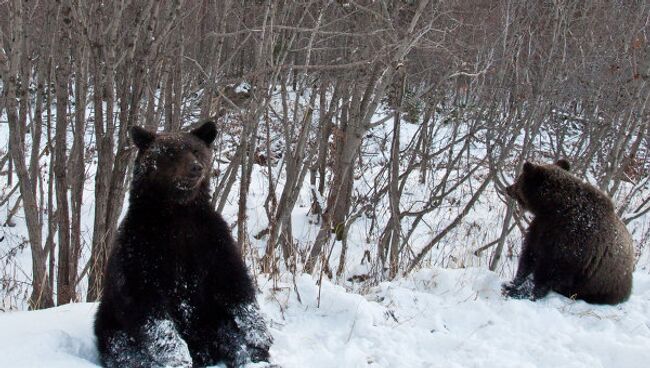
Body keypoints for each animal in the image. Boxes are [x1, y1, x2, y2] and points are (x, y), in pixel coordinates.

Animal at [93, 120, 270, 366]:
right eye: (170, 152)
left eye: (196, 150)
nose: (196, 167)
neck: (178, 212)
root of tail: (205, 352)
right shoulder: (140, 248)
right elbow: (147, 306)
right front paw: (176, 354)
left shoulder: (209, 239)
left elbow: (234, 282)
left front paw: (260, 335)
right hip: (111, 323)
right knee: (123, 349)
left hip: (212, 318)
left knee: (232, 336)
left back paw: (251, 355)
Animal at [502, 160, 632, 304]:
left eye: (519, 179)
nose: (508, 188)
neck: (553, 208)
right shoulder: (540, 229)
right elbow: (529, 257)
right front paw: (511, 284)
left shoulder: (572, 242)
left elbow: (548, 270)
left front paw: (525, 292)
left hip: (604, 283)